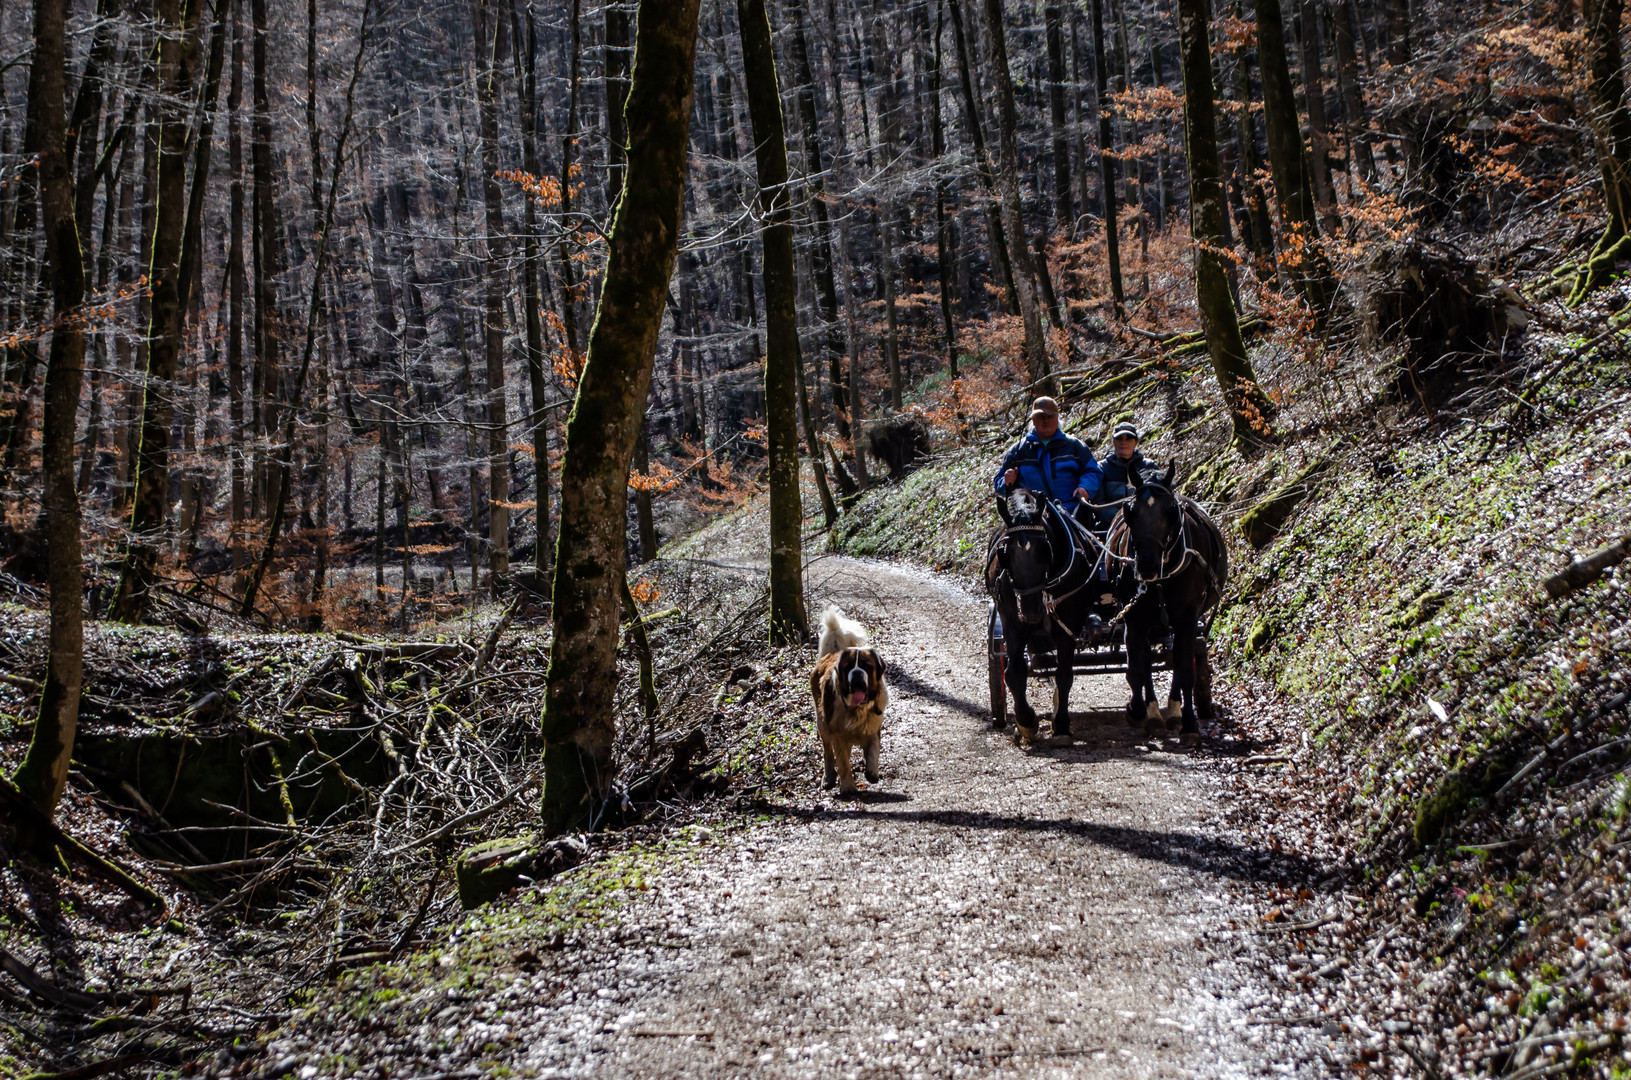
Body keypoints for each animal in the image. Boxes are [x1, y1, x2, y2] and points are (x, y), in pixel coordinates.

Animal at [805, 610, 887, 796]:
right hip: (823, 723)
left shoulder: (873, 727)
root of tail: (830, 654)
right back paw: (828, 778)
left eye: (866, 666)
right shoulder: (838, 735)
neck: (858, 708)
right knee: (828, 752)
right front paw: (848, 786)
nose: (856, 673)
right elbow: (842, 762)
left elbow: (873, 750)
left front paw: (872, 772)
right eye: (848, 667)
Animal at [978, 489, 1096, 743]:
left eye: (1046, 550)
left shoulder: (1069, 623)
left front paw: (1061, 725)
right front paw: (1026, 722)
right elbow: (1013, 673)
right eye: (1006, 554)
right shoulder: (1012, 623)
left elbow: (1064, 674)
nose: (1032, 611)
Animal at [1102, 466, 1226, 743]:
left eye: (1171, 510)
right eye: (1130, 510)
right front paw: (1138, 711)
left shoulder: (1187, 618)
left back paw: (1174, 712)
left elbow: (1184, 667)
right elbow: (1137, 667)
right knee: (1147, 662)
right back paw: (1154, 714)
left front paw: (1188, 723)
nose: (1146, 565)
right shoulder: (1134, 617)